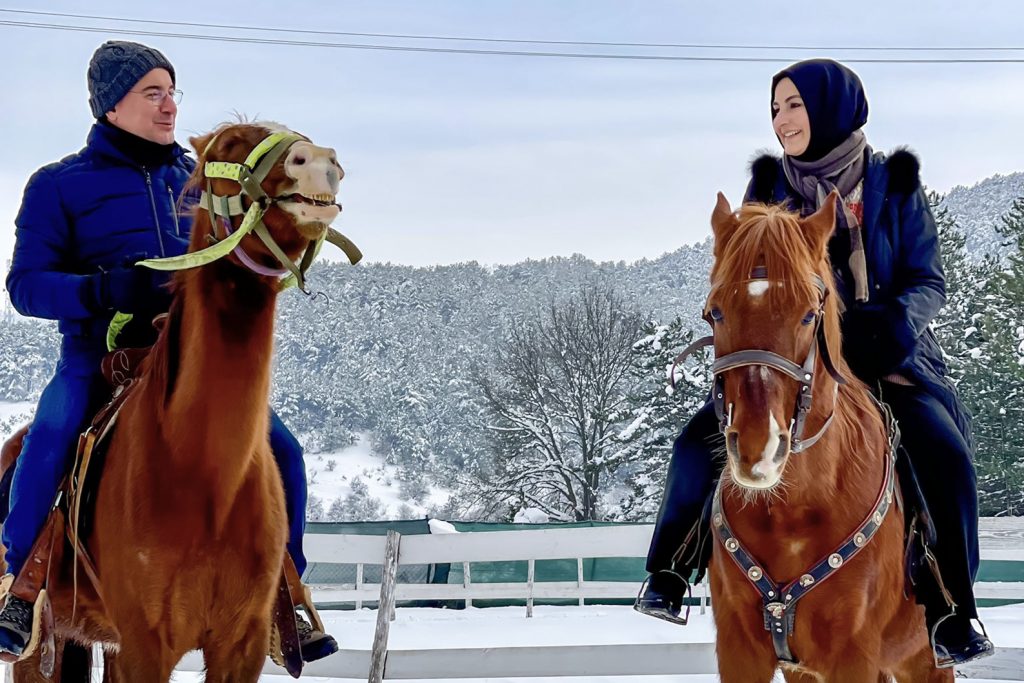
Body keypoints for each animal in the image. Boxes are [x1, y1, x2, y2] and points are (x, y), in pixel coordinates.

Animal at [1, 122, 344, 683]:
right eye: (228, 149)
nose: (318, 160)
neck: (203, 476)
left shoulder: (241, 644)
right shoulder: (144, 645)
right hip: (39, 649)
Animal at [704, 193, 950, 683]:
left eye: (808, 314)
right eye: (715, 312)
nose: (759, 448)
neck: (793, 509)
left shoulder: (853, 655)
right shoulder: (740, 651)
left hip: (924, 660)